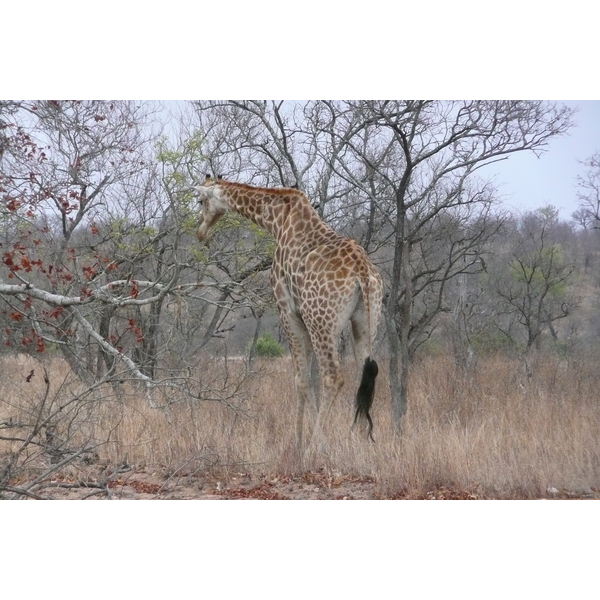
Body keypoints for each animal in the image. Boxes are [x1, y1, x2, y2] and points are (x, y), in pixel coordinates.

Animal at [197, 176, 384, 448]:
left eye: (200, 201)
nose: (200, 232)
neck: (277, 220)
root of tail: (362, 271)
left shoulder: (287, 310)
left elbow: (302, 379)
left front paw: (300, 442)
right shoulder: (302, 317)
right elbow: (305, 378)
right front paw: (300, 436)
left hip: (322, 322)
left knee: (333, 376)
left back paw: (317, 444)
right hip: (367, 320)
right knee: (365, 373)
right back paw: (358, 443)